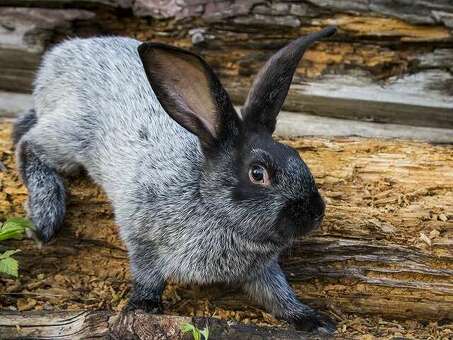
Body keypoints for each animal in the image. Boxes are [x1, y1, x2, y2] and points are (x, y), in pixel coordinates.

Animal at [13, 26, 336, 332]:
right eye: (258, 173)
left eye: (297, 156)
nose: (315, 213)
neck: (205, 199)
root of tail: (58, 57)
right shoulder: (142, 236)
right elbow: (147, 275)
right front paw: (143, 307)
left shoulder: (263, 270)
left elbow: (277, 294)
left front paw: (313, 320)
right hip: (72, 135)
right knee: (29, 144)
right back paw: (44, 218)